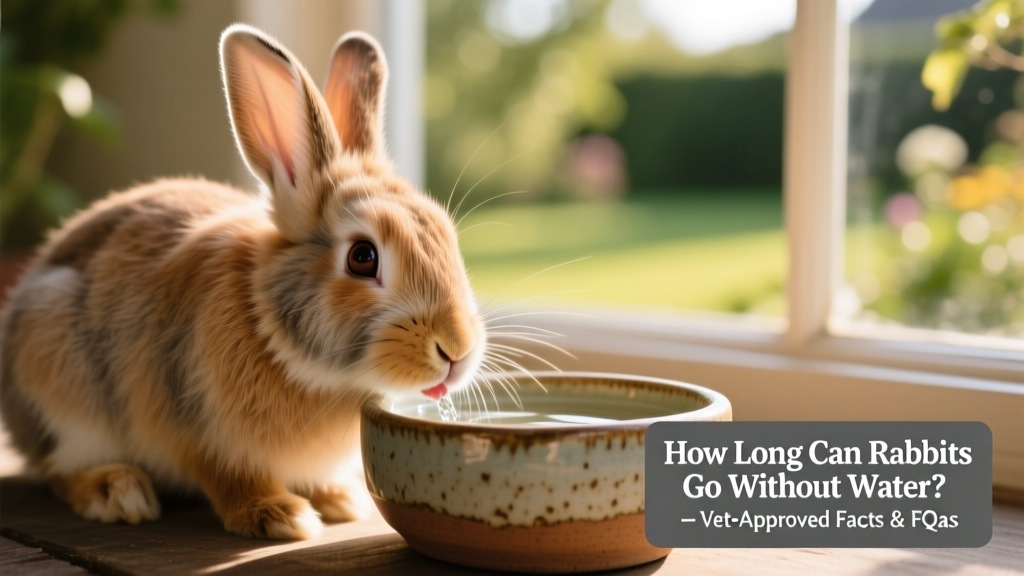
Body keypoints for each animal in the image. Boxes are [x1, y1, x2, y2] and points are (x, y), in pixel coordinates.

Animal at [0, 23, 486, 539]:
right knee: (59, 470)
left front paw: (339, 500)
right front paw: (282, 517)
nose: (457, 348)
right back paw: (117, 491)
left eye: (447, 235)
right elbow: (229, 478)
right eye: (362, 257)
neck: (274, 334)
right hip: (59, 386)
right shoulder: (199, 430)